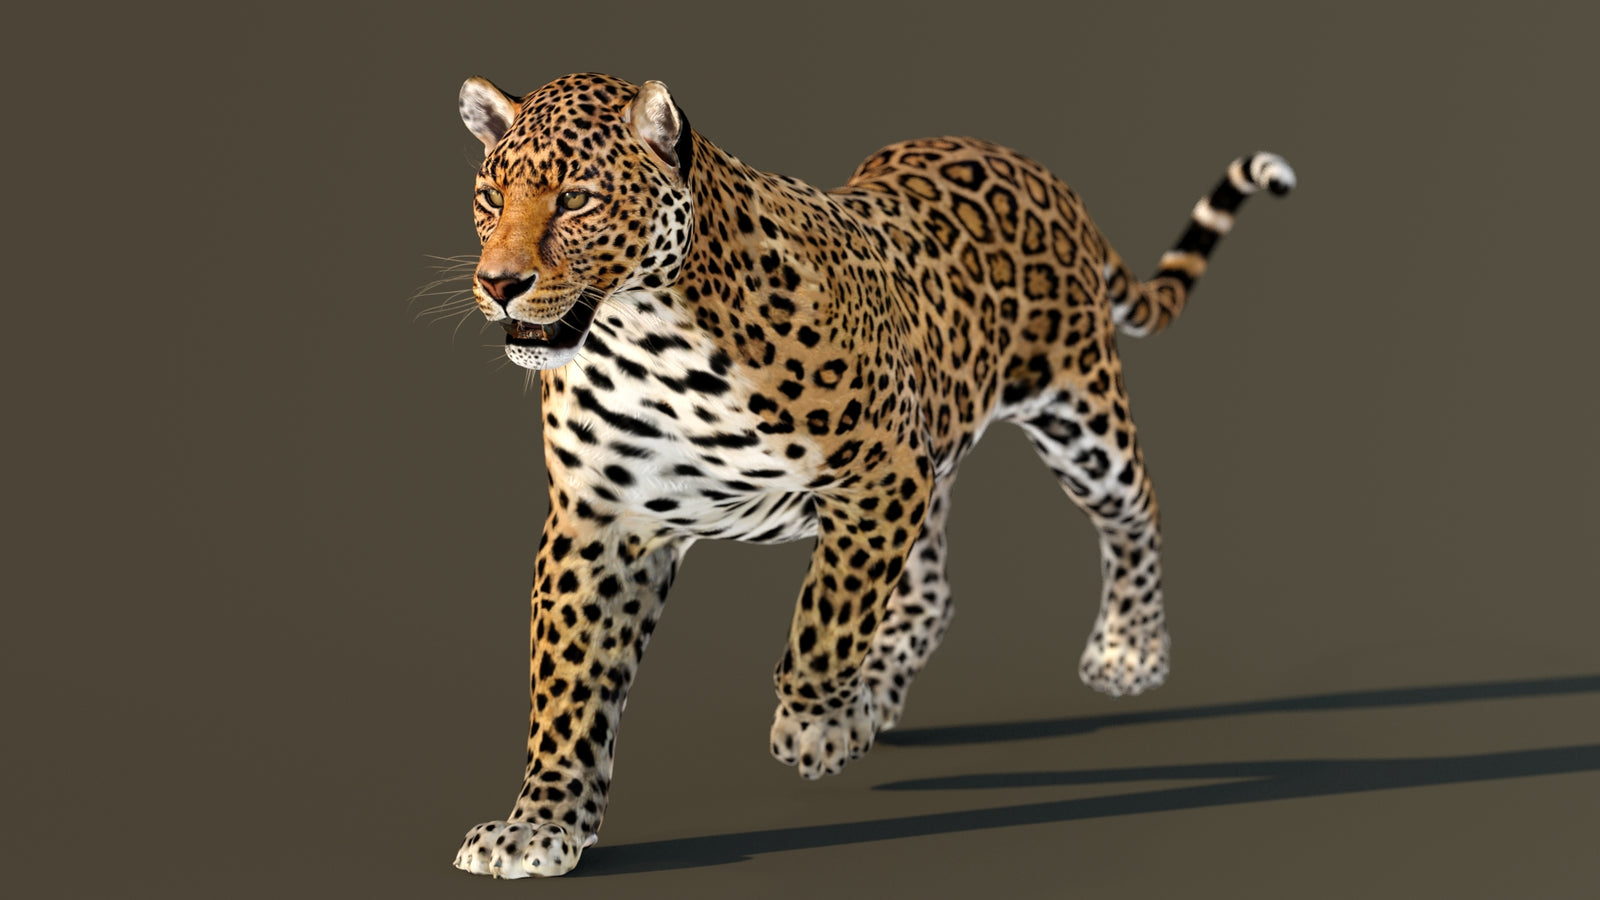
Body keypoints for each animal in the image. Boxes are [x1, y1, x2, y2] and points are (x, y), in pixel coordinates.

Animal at [442, 71, 1293, 878]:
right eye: (491, 198)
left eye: (577, 199)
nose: (499, 285)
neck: (645, 337)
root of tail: (1028, 163)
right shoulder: (600, 523)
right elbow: (570, 686)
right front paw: (541, 825)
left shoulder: (879, 475)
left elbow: (826, 620)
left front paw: (818, 726)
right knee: (931, 591)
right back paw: (882, 686)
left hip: (1078, 415)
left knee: (1136, 510)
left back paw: (1129, 649)